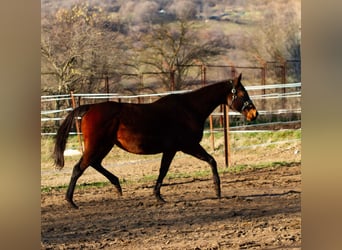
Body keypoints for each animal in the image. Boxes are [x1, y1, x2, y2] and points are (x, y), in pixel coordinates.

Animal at [52, 73, 256, 208]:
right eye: (242, 94)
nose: (254, 114)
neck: (188, 109)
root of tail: (90, 107)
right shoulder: (188, 146)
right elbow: (211, 161)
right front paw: (217, 190)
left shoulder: (171, 149)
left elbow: (163, 171)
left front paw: (158, 196)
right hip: (97, 145)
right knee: (79, 168)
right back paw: (70, 201)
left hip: (105, 145)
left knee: (94, 164)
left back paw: (117, 186)